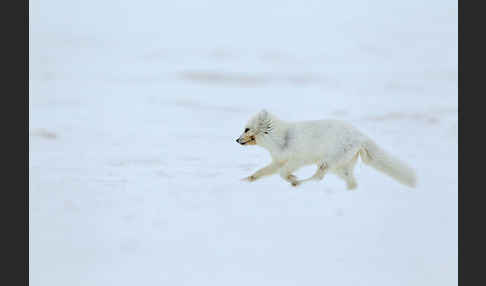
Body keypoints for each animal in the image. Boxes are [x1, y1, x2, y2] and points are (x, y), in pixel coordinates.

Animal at [235, 110, 414, 189]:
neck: (280, 138)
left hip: (329, 161)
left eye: (246, 129)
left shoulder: (297, 159)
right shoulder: (278, 160)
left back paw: (300, 183)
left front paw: (293, 178)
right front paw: (245, 180)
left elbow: (282, 173)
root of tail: (360, 135)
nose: (236, 140)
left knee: (319, 177)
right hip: (342, 167)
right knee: (352, 182)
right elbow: (260, 172)